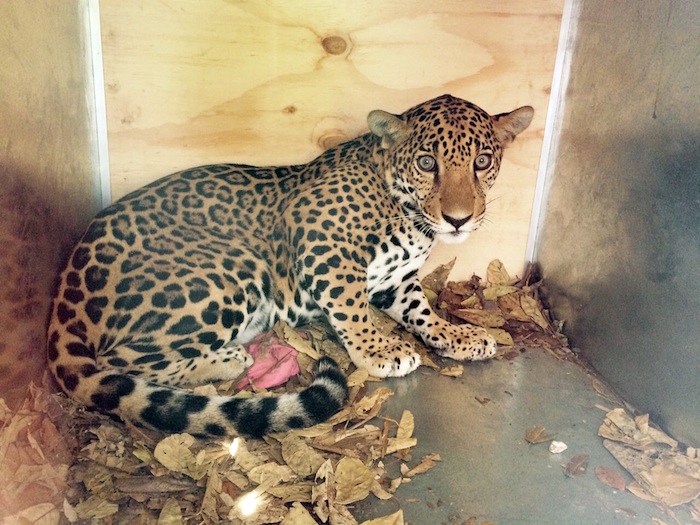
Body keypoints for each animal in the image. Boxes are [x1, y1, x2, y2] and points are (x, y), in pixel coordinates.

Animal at [47, 94, 533, 439]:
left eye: (482, 162)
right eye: (427, 163)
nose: (458, 218)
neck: (411, 217)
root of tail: (68, 290)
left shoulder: (395, 281)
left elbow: (421, 310)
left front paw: (458, 334)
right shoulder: (321, 242)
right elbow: (352, 308)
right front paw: (379, 351)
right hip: (229, 268)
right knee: (119, 360)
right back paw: (227, 360)